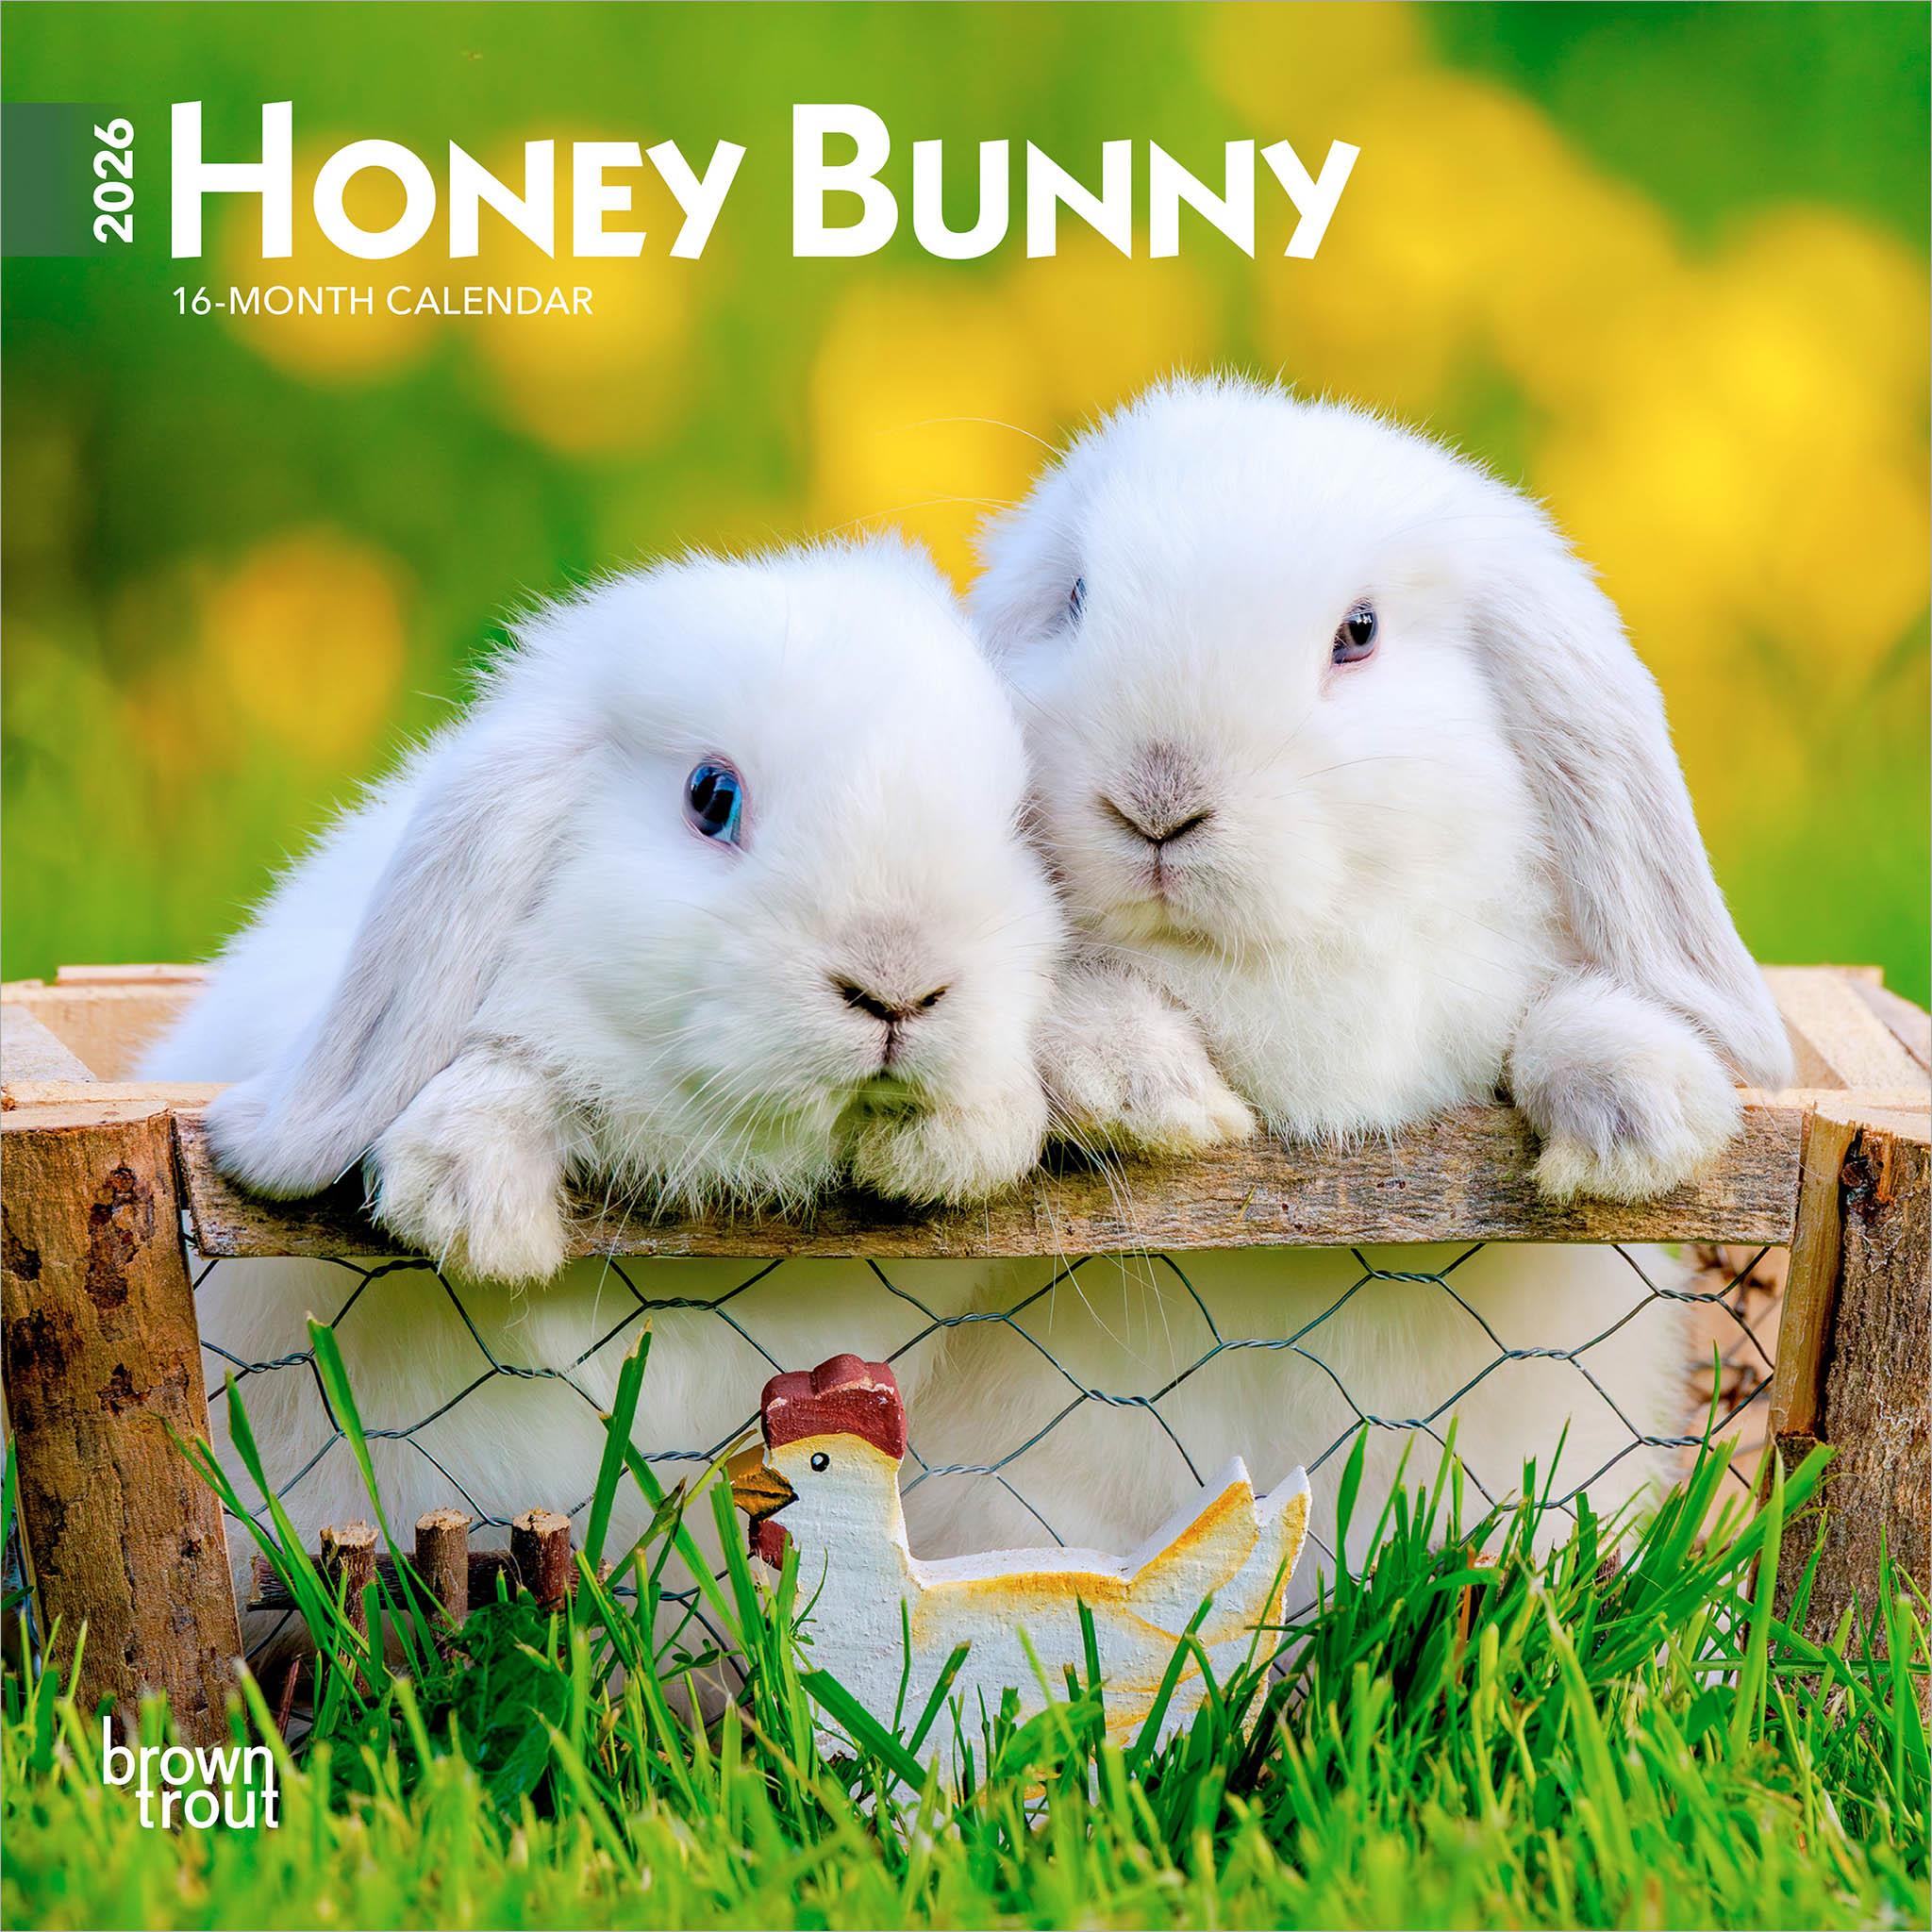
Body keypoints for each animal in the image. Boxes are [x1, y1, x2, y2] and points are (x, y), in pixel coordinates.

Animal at [141, 536, 1066, 1643]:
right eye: (711, 796)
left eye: (1018, 822)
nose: (898, 987)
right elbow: (514, 1068)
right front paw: (474, 1207)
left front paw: (956, 1142)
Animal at [895, 376, 1792, 1589]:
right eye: (1075, 599)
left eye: (1357, 633)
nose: (1154, 800)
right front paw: (1158, 1100)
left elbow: (1545, 1027)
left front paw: (1637, 1123)